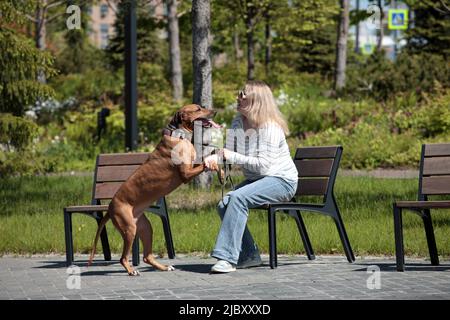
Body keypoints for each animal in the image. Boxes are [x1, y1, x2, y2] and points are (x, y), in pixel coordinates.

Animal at [87, 104, 221, 276]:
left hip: (145, 227)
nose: (215, 111)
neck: (179, 136)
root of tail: (109, 208)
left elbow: (206, 160)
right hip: (129, 228)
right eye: (197, 109)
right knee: (123, 257)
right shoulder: (186, 174)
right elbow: (204, 163)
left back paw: (163, 267)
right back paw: (131, 271)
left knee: (147, 256)